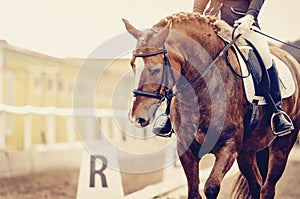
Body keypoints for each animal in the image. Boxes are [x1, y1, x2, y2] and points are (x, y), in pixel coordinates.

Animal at [122, 12, 300, 199]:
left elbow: (211, 187)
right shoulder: (186, 149)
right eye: (133, 65)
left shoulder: (229, 146)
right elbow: (194, 192)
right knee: (256, 184)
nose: (137, 117)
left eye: (156, 70)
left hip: (282, 145)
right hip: (247, 152)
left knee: (267, 188)